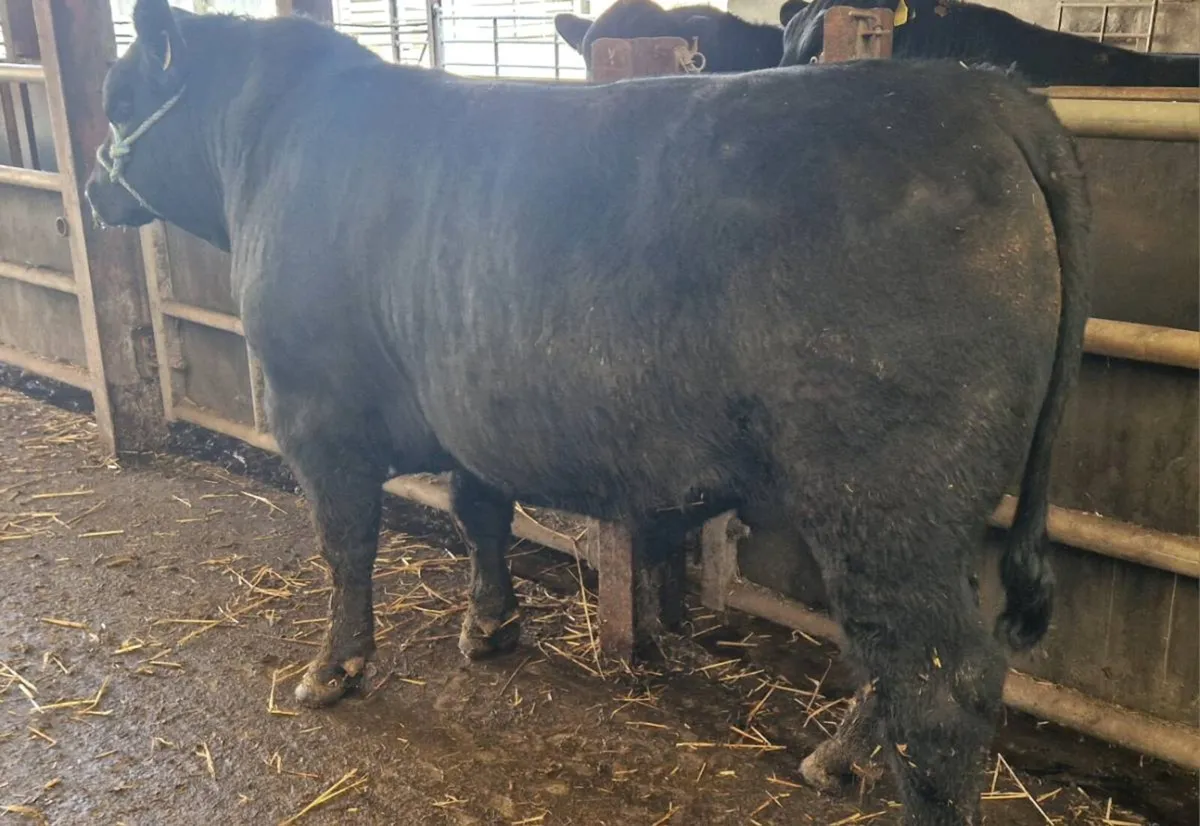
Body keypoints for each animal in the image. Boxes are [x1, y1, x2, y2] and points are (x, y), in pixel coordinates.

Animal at [86, 2, 1092, 823]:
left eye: (119, 98)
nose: (94, 189)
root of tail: (987, 96)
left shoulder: (314, 409)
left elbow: (346, 548)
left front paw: (332, 669)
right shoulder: (469, 402)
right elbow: (480, 512)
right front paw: (490, 627)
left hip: (884, 493)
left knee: (942, 683)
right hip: (914, 515)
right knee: (906, 661)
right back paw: (836, 760)